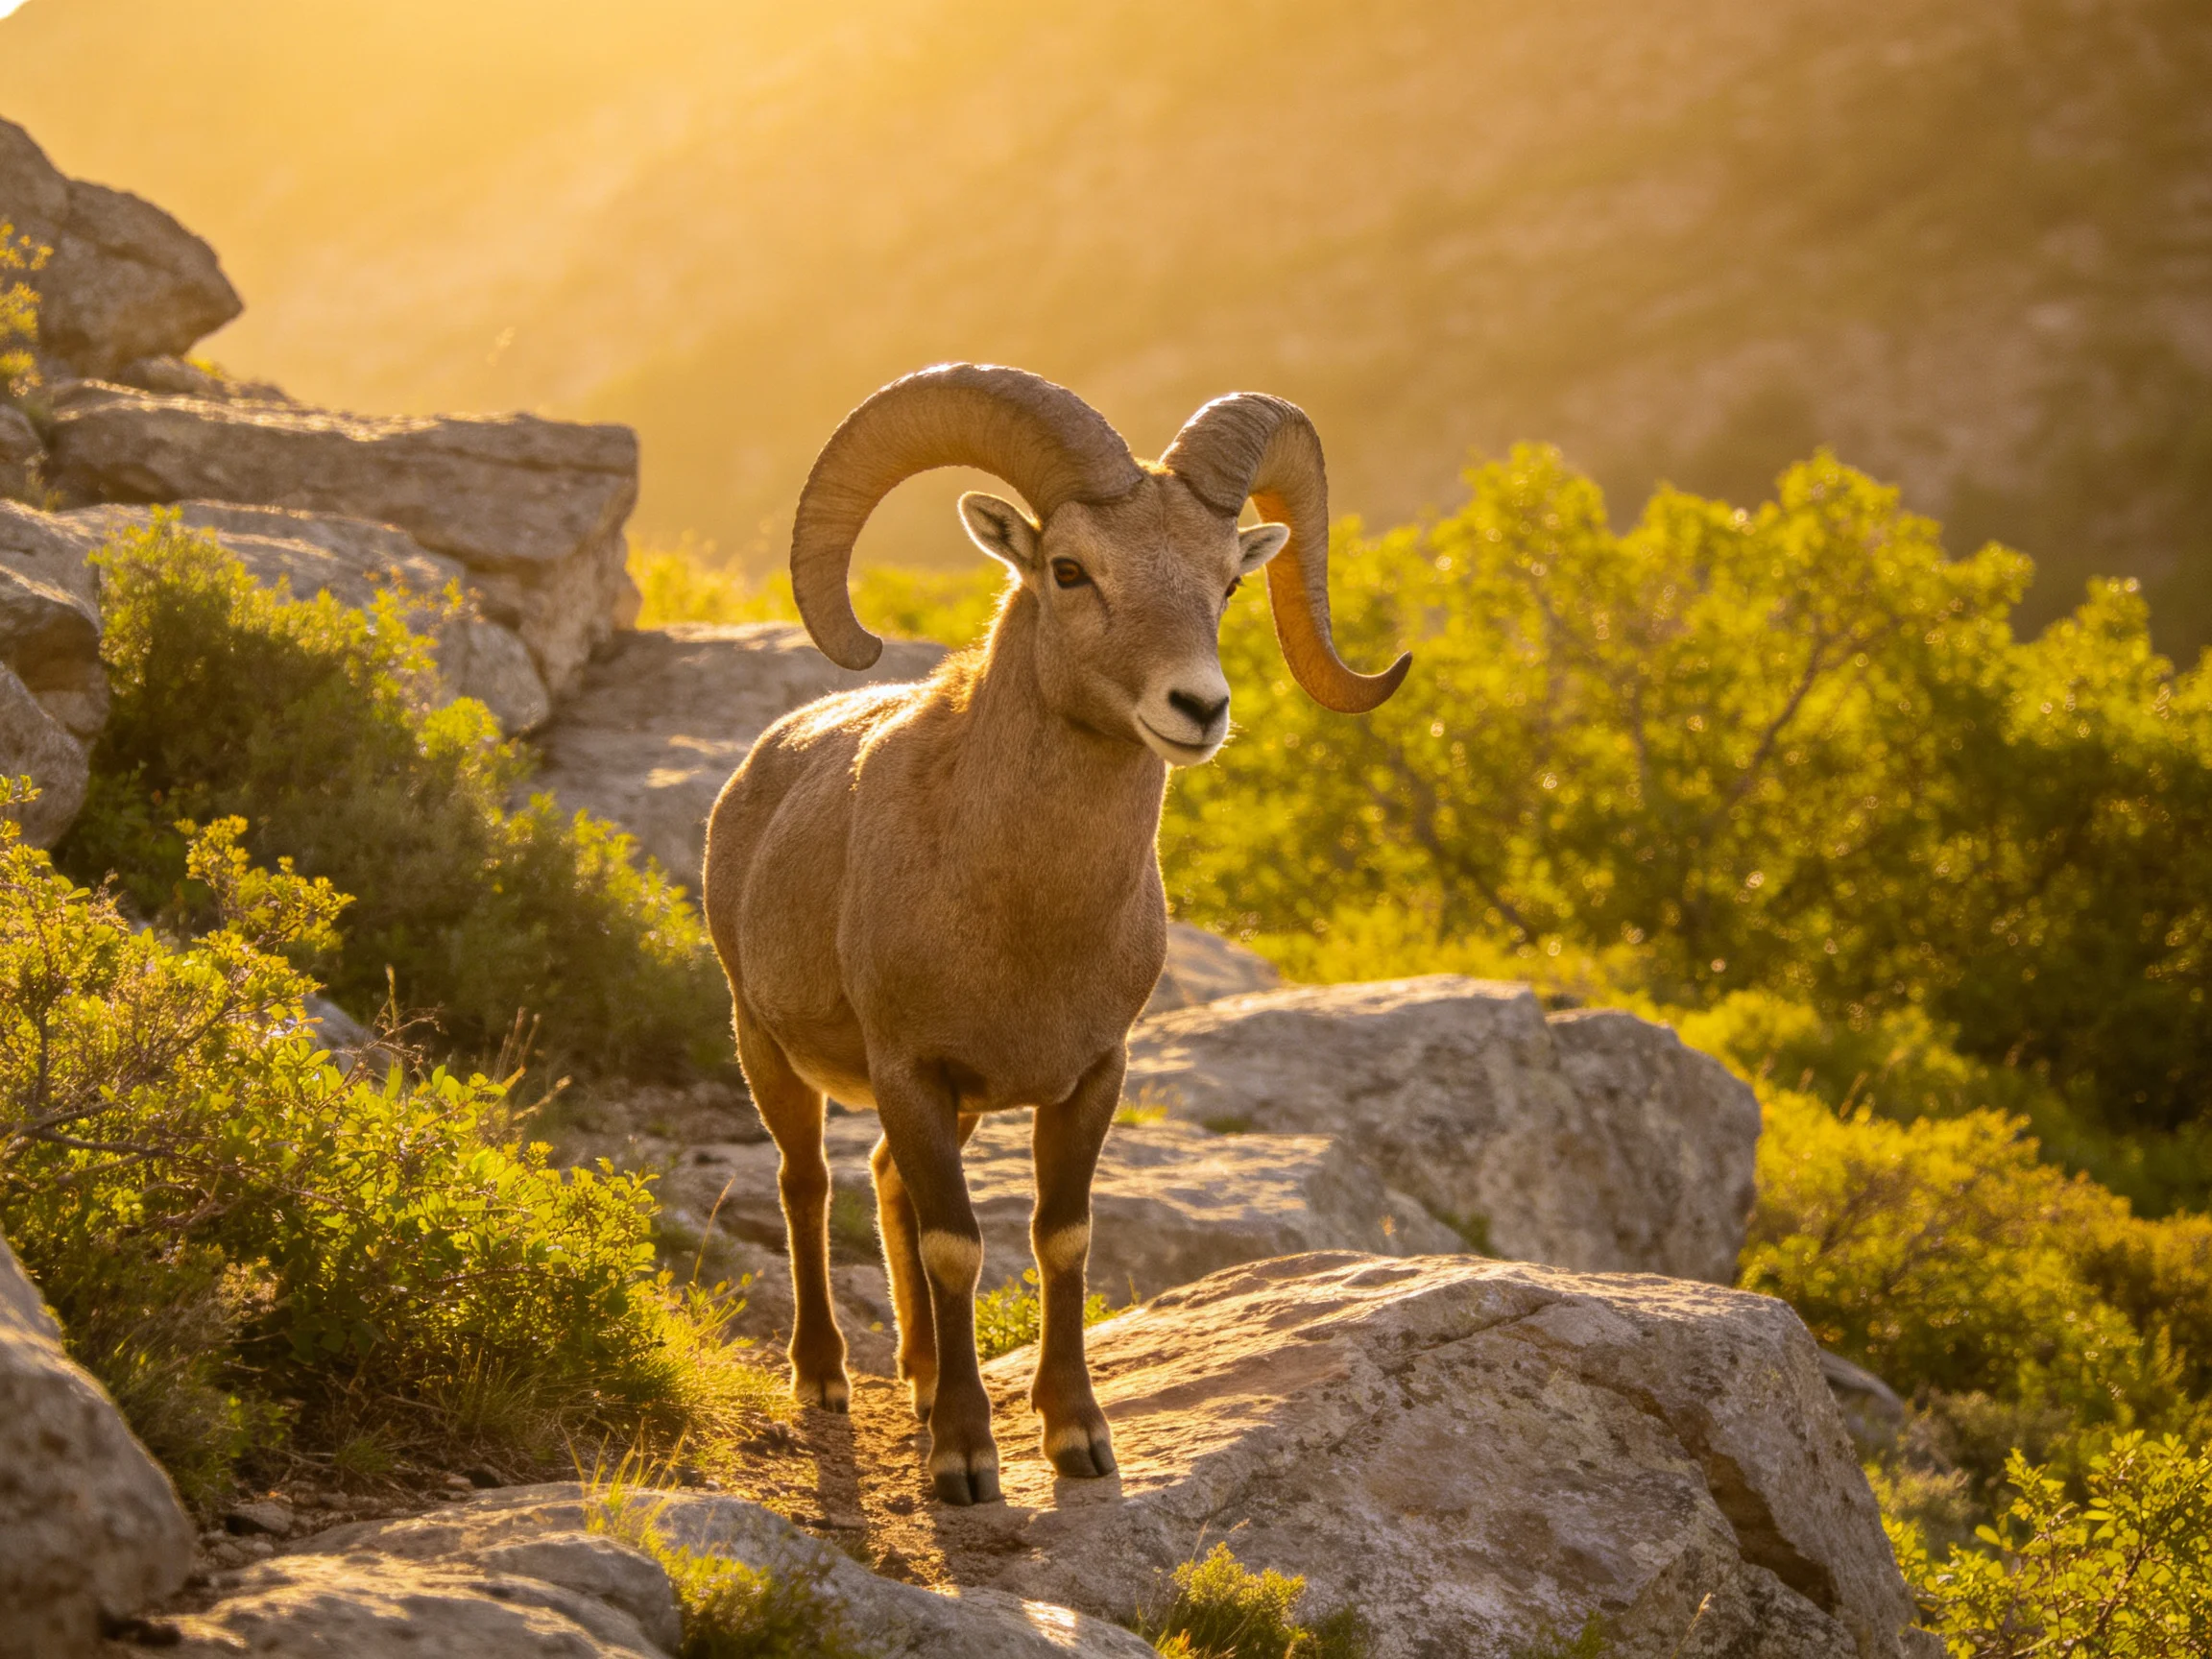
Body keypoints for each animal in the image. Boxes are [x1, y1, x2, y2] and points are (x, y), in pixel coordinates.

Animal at [701, 363, 1408, 1504]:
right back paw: (826, 1379)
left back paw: (917, 1376)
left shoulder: (1085, 1078)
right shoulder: (911, 1071)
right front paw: (964, 1459)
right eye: (1072, 570)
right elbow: (956, 1245)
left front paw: (1076, 1439)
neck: (1027, 923)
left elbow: (1060, 1238)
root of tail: (758, 773)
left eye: (1227, 583)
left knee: (885, 1183)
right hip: (764, 1047)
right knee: (806, 1187)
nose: (1198, 708)